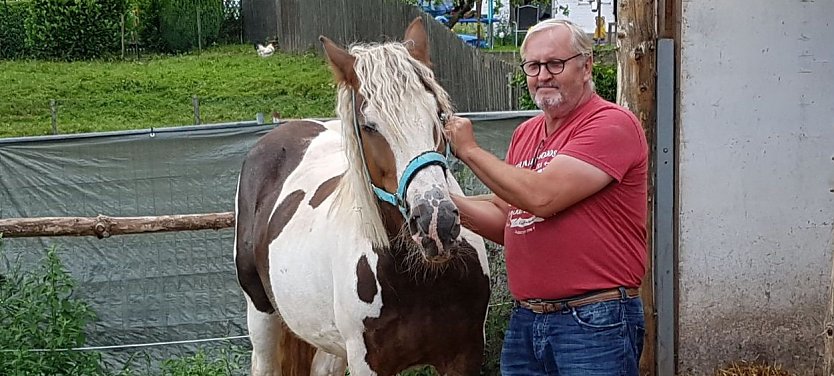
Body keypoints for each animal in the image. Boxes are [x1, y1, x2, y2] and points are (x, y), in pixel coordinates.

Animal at [231, 16, 490, 376]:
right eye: (369, 126)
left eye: (439, 114)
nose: (436, 222)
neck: (418, 280)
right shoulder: (368, 363)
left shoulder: (464, 356)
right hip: (262, 317)